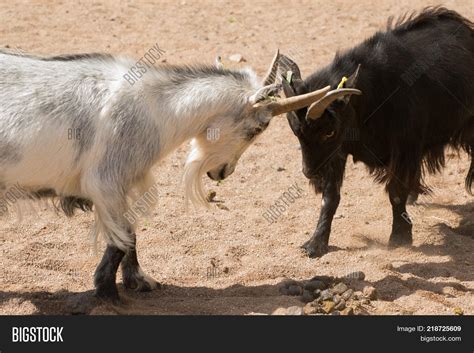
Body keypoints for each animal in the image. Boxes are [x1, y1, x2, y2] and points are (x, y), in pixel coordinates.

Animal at [0, 47, 332, 300]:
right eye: (258, 128)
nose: (223, 172)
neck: (155, 109)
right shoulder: (106, 183)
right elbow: (121, 238)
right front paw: (107, 293)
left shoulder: (125, 183)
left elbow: (131, 234)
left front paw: (139, 281)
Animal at [280, 7, 472, 256]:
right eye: (297, 132)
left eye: (328, 132)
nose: (310, 173)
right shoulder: (338, 152)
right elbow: (330, 197)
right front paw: (316, 243)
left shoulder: (405, 147)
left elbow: (395, 192)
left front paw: (399, 237)